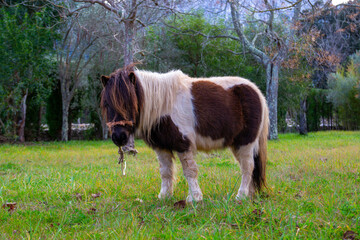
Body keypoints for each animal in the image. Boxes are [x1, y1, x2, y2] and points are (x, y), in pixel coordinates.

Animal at [100, 66, 268, 202]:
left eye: (130, 103)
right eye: (107, 104)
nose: (119, 137)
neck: (163, 106)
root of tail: (256, 91)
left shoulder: (183, 144)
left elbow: (190, 171)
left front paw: (194, 198)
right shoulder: (161, 147)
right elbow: (165, 172)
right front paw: (164, 196)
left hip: (245, 143)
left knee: (247, 168)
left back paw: (241, 196)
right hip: (237, 145)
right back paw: (249, 195)